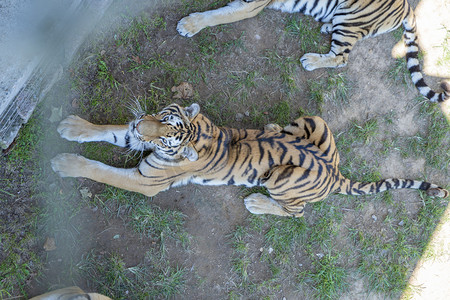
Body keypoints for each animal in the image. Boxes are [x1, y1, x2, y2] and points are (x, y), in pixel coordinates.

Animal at [51, 102, 448, 217]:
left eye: (166, 134)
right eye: (163, 117)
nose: (141, 124)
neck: (196, 132)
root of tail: (337, 174)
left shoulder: (147, 181)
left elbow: (101, 170)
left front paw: (63, 163)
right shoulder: (136, 132)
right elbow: (111, 129)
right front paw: (72, 126)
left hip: (280, 178)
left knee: (296, 213)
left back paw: (257, 204)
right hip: (313, 120)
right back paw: (271, 126)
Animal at [177, 0, 450, 103]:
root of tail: (407, 6)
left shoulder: (249, 5)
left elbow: (218, 15)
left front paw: (189, 24)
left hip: (350, 19)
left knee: (341, 57)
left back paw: (310, 60)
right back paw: (326, 26)